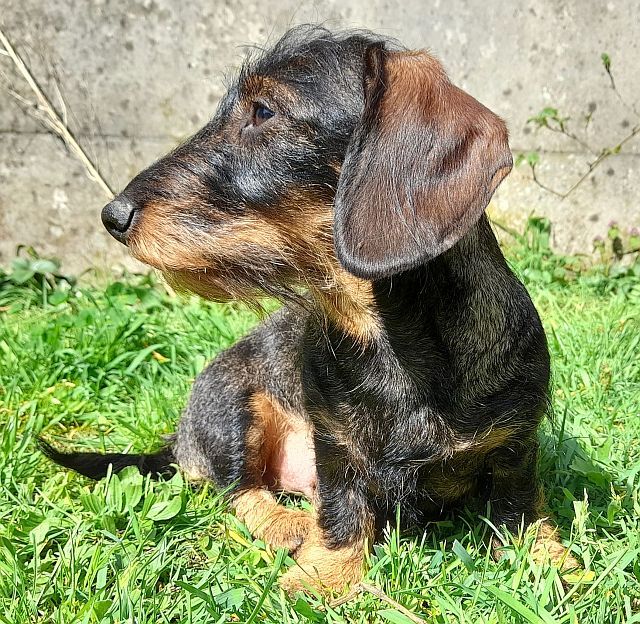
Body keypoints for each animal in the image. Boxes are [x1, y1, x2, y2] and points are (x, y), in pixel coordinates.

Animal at [42, 25, 577, 592]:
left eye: (263, 111)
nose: (112, 215)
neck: (388, 341)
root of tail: (179, 442)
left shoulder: (515, 443)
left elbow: (520, 504)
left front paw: (547, 560)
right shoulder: (333, 445)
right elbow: (342, 509)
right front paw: (325, 575)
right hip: (231, 403)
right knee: (237, 491)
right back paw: (290, 523)